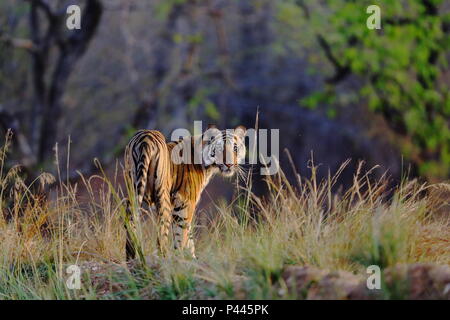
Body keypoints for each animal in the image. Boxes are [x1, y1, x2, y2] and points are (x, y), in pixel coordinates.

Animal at [123, 124, 246, 260]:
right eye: (219, 148)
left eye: (235, 148)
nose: (229, 164)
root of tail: (146, 137)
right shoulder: (185, 203)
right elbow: (182, 235)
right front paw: (181, 259)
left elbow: (189, 238)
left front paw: (191, 258)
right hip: (163, 201)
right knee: (162, 234)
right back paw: (164, 259)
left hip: (132, 192)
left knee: (130, 223)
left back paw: (130, 260)